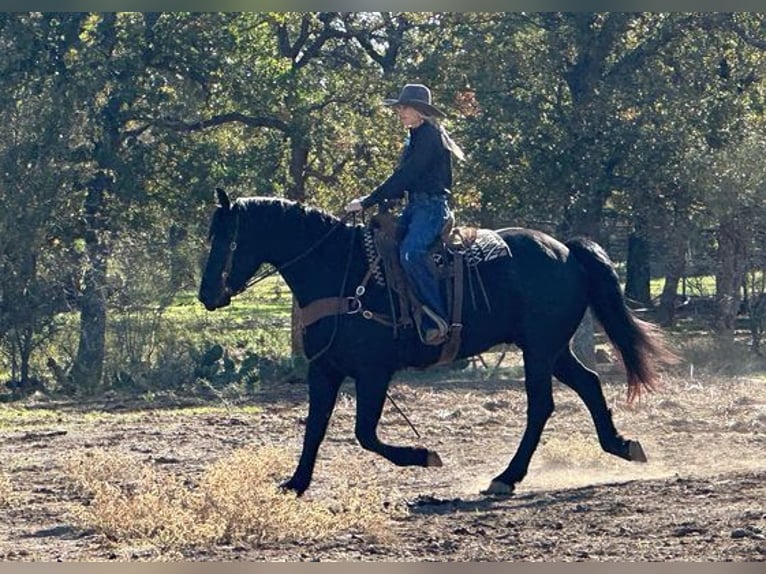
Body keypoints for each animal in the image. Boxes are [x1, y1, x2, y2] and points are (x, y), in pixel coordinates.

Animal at [200, 190, 680, 500]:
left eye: (231, 238)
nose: (207, 295)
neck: (339, 269)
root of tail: (564, 249)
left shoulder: (373, 372)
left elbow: (365, 433)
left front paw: (423, 455)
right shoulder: (325, 369)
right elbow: (315, 428)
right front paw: (295, 484)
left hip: (540, 349)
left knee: (542, 405)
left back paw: (507, 477)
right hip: (551, 348)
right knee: (589, 383)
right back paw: (621, 446)